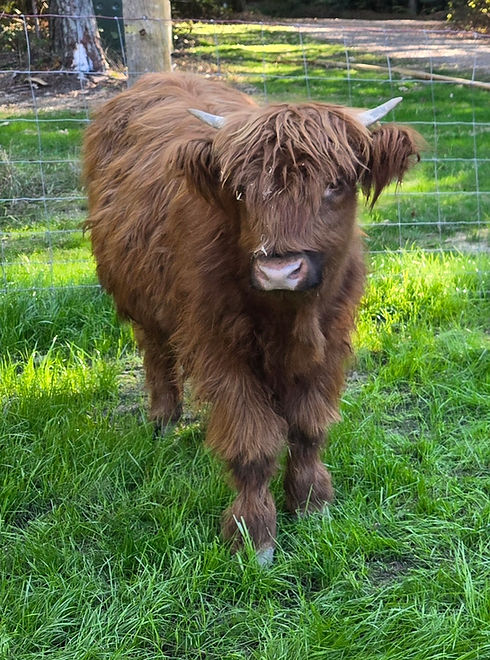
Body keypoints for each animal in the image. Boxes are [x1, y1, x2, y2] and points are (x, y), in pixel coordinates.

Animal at [83, 72, 421, 564]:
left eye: (336, 183)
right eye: (240, 190)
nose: (279, 270)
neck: (290, 318)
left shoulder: (330, 342)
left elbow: (308, 427)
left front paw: (312, 503)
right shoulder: (219, 349)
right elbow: (252, 443)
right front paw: (253, 536)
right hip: (140, 295)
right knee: (156, 351)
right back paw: (164, 419)